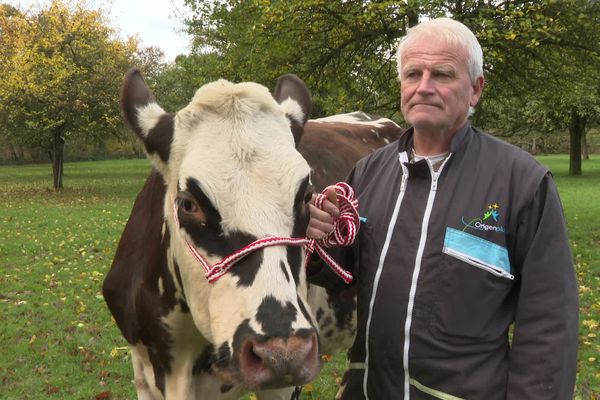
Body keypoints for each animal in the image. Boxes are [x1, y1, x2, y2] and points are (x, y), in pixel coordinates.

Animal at [103, 69, 404, 400]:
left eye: (306, 195)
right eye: (187, 203)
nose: (283, 352)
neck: (178, 366)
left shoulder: (284, 384)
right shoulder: (143, 371)